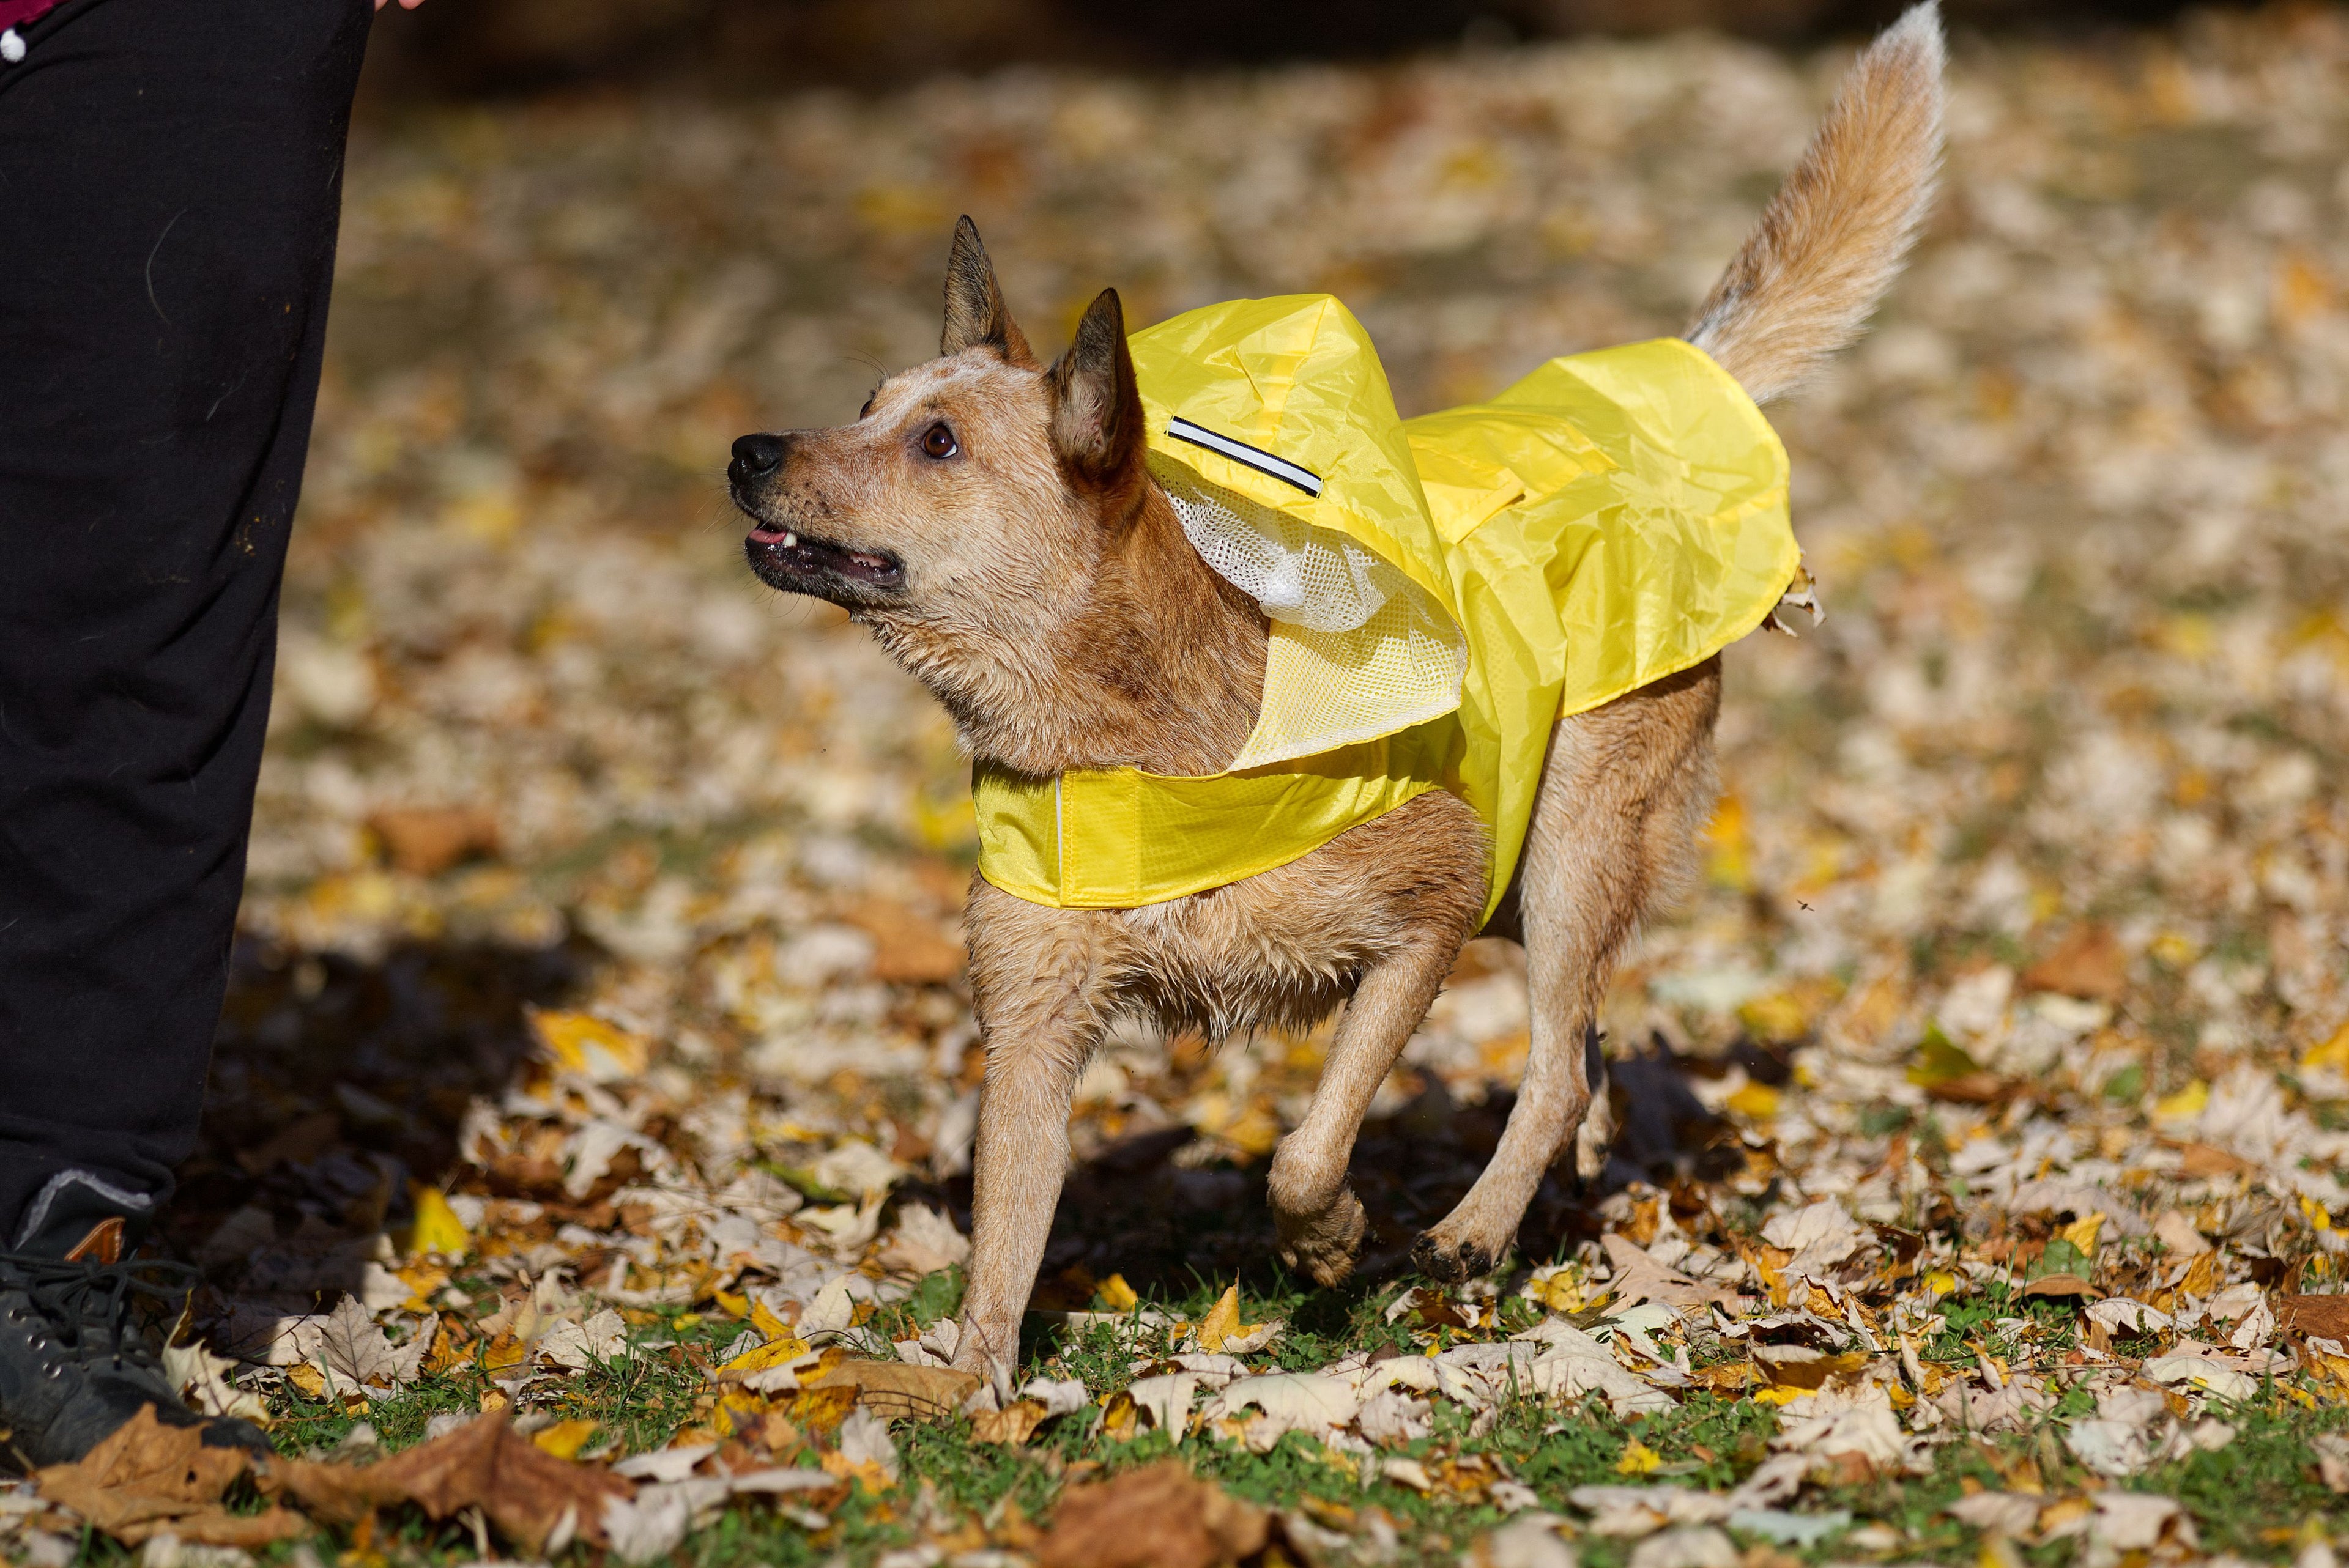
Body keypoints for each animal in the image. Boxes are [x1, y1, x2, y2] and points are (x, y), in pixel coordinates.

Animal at [733, 9, 1945, 1380]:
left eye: (937, 444)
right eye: (866, 405)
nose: (747, 450)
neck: (1142, 736)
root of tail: (1647, 424)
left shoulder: (1429, 913)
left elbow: (1307, 1152)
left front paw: (1327, 1240)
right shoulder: (1034, 1028)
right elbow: (1001, 1248)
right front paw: (963, 1393)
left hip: (1568, 846)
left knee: (1555, 1062)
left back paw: (1473, 1228)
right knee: (1579, 1050)